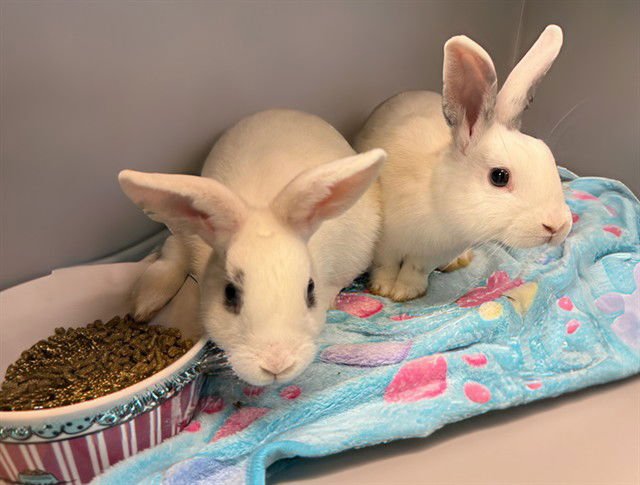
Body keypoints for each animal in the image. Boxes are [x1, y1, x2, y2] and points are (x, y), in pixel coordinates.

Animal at [119, 109, 386, 386]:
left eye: (310, 290)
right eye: (230, 293)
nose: (276, 364)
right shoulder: (185, 238)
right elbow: (171, 256)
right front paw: (143, 305)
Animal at [354, 25, 572, 302]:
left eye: (548, 157)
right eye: (499, 176)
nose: (558, 225)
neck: (435, 199)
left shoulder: (432, 254)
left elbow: (415, 269)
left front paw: (406, 291)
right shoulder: (385, 243)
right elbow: (386, 265)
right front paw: (383, 289)